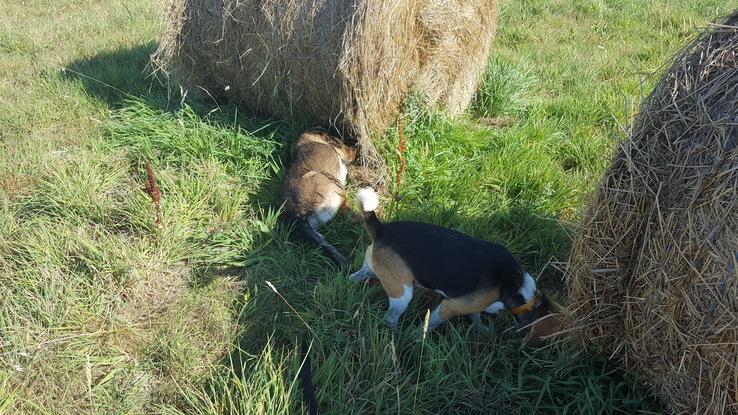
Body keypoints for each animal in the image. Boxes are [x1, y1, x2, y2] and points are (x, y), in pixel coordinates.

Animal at [278, 127, 356, 266]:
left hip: (317, 234)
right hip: (331, 181)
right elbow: (351, 152)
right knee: (349, 215)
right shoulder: (344, 152)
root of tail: (294, 215)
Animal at [348, 188, 560, 342]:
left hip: (372, 268)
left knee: (355, 276)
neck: (516, 285)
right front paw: (420, 337)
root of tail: (381, 229)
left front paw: (483, 330)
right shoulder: (449, 307)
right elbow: (433, 323)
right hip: (402, 294)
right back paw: (396, 335)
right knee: (391, 317)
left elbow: (476, 316)